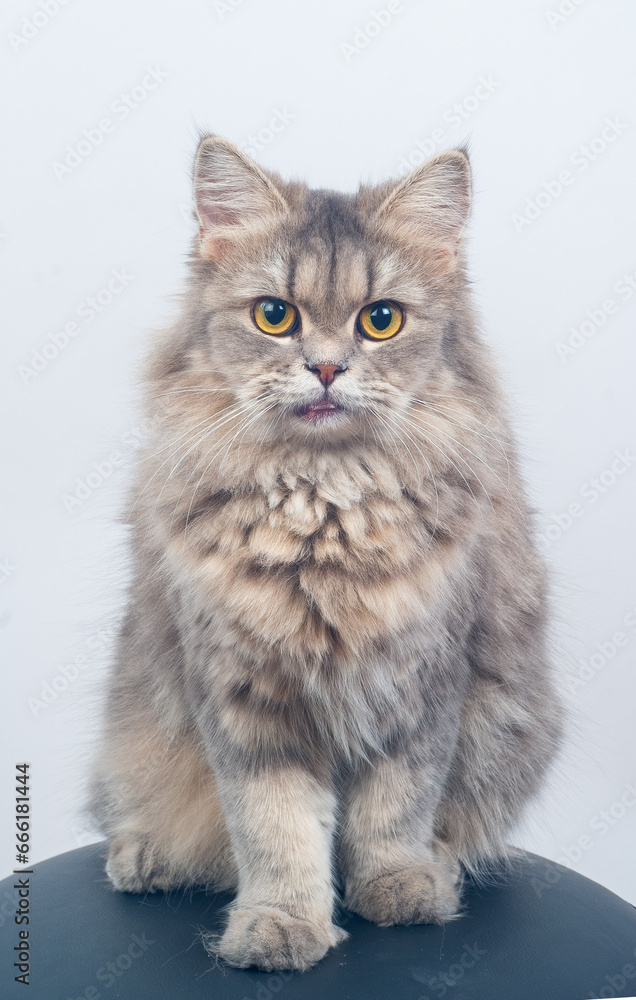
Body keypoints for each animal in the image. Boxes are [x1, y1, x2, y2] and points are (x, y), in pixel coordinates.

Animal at [88, 131, 560, 968]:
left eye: (381, 321)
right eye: (276, 316)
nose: (329, 368)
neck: (326, 508)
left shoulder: (425, 684)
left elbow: (395, 810)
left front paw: (400, 888)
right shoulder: (245, 697)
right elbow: (273, 827)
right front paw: (281, 924)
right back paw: (144, 857)